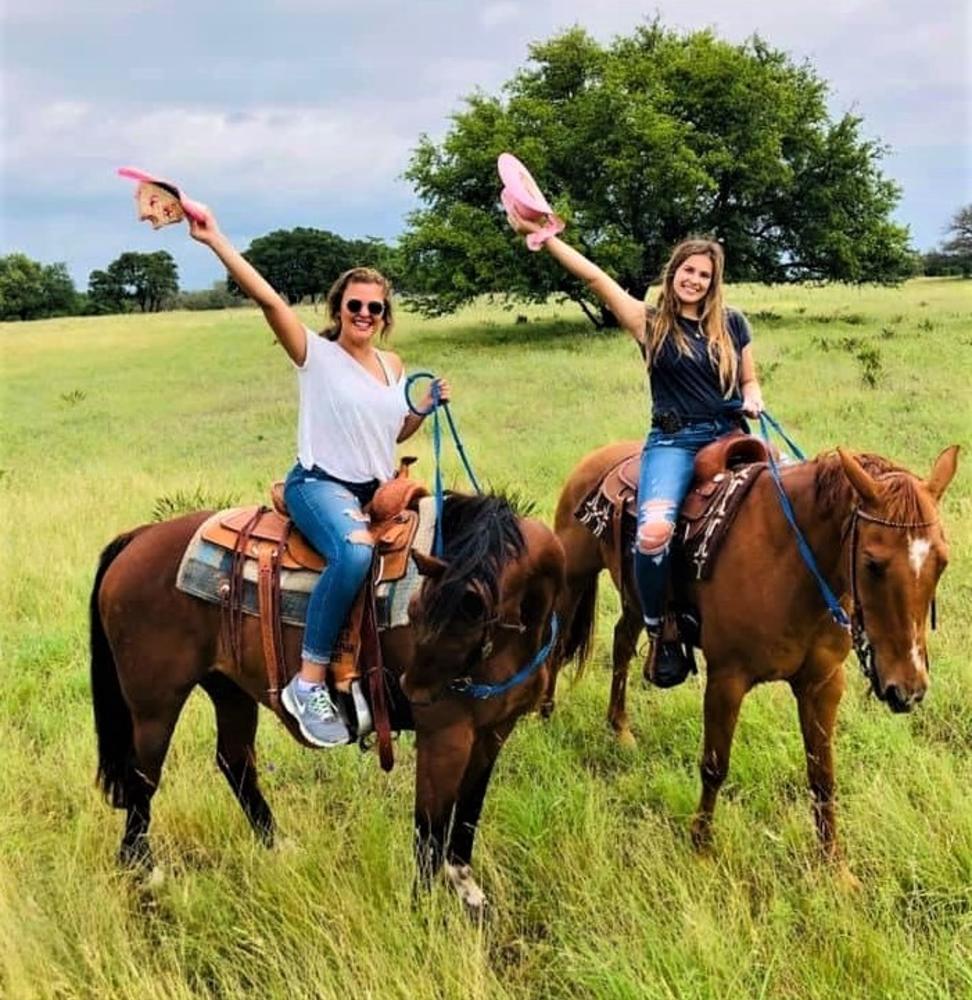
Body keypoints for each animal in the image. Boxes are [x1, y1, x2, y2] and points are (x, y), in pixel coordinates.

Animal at [93, 494, 560, 916]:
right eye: (413, 613)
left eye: (462, 628)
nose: (411, 690)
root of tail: (138, 537)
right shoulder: (444, 735)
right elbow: (429, 827)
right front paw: (421, 912)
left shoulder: (494, 730)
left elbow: (467, 811)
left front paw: (468, 891)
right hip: (155, 704)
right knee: (143, 777)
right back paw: (143, 870)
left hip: (229, 690)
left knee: (234, 761)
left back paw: (276, 846)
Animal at [548, 446, 956, 860]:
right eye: (873, 564)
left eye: (942, 562)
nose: (907, 690)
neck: (793, 563)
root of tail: (599, 457)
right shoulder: (726, 678)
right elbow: (714, 766)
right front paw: (701, 849)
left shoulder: (823, 683)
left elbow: (823, 775)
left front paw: (834, 864)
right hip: (574, 575)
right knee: (557, 643)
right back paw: (546, 712)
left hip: (633, 597)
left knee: (621, 644)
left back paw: (620, 729)